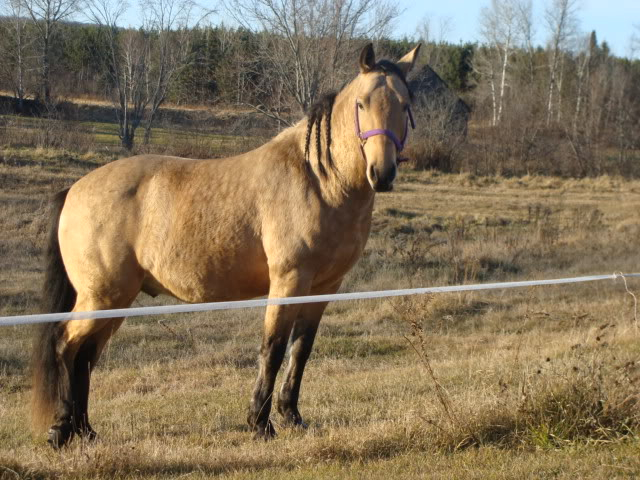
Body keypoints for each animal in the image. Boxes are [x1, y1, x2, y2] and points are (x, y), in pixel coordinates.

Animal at [31, 43, 420, 448]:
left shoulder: (325, 288)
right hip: (101, 296)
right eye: (361, 103)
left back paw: (85, 431)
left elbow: (301, 350)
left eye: (405, 103)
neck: (318, 180)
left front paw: (292, 417)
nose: (382, 173)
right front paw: (260, 423)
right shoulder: (289, 281)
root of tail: (74, 189)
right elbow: (273, 348)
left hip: (115, 300)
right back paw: (61, 430)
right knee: (65, 345)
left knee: (86, 355)